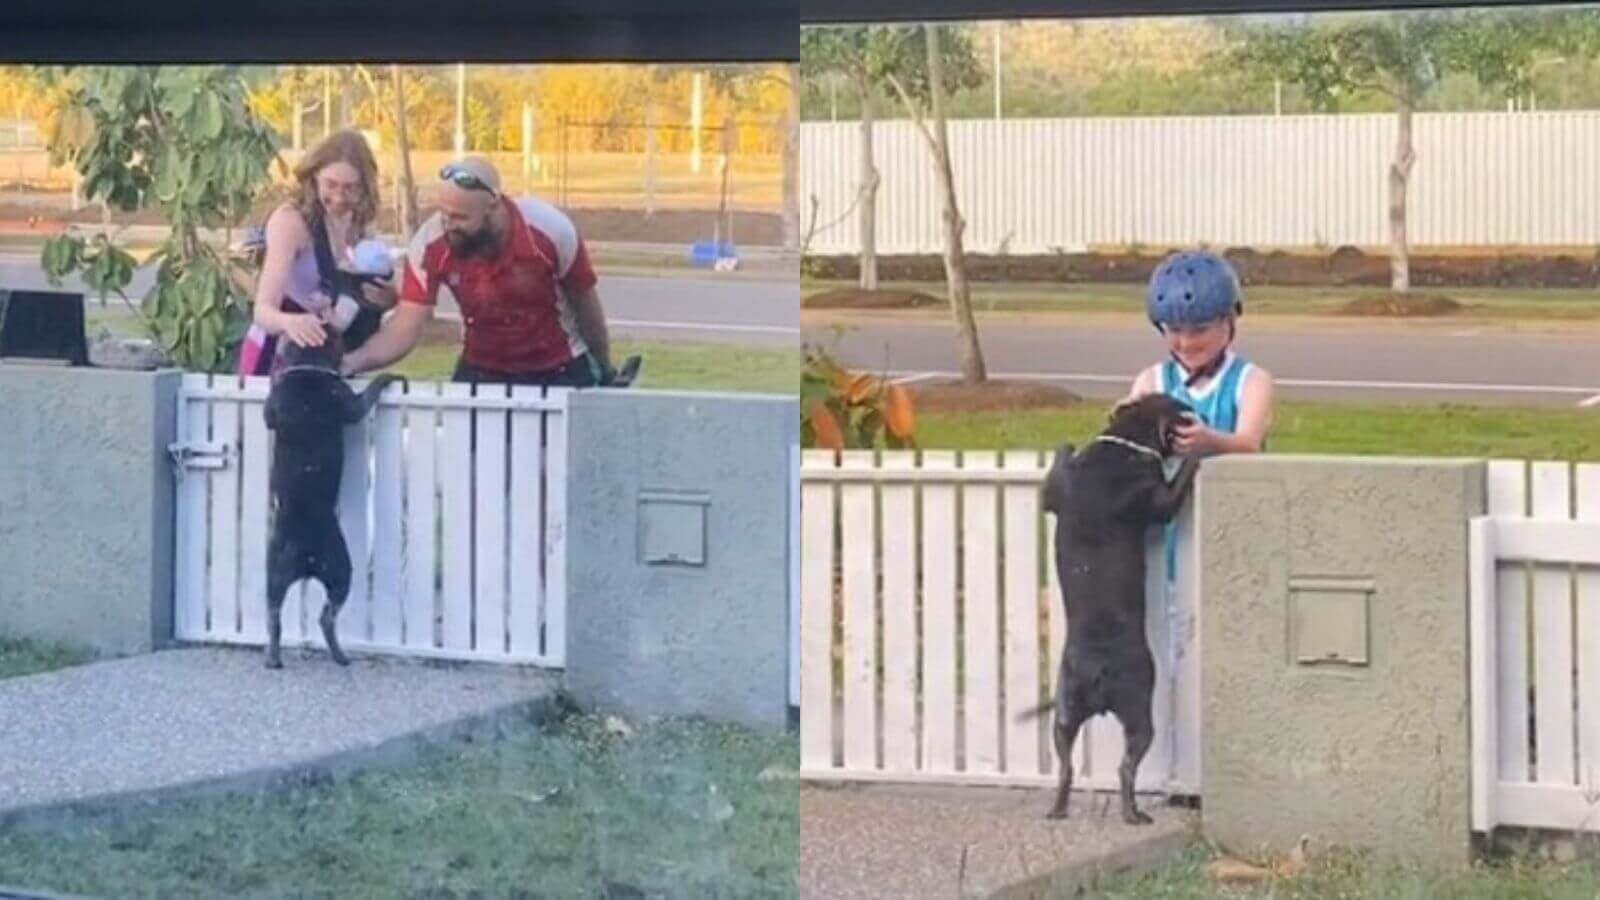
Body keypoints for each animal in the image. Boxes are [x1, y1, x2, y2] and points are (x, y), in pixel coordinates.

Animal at [262, 339, 406, 669]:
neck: (308, 367)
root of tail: (304, 558)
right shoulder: (350, 404)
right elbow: (366, 397)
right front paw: (386, 379)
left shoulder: (271, 409)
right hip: (341, 570)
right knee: (327, 617)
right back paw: (341, 656)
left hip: (275, 574)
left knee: (274, 615)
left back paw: (274, 657)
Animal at [1024, 395, 1203, 826]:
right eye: (1181, 409)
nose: (1197, 416)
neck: (1124, 441)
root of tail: (1097, 672)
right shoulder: (1159, 500)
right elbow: (1175, 484)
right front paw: (1198, 451)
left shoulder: (1053, 495)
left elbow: (1056, 476)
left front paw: (1066, 445)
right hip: (1139, 710)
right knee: (1126, 768)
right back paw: (1133, 813)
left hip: (1065, 710)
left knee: (1066, 766)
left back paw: (1058, 808)